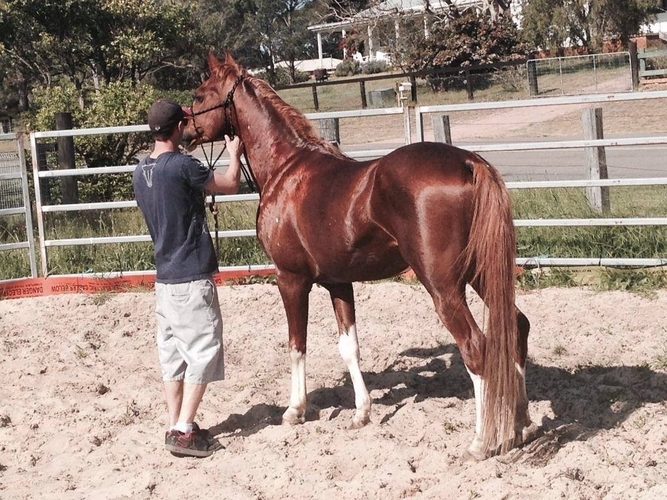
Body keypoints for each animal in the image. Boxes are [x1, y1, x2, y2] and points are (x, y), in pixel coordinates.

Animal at [183, 52, 538, 459]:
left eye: (199, 94)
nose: (184, 131)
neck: (285, 169)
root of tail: (467, 163)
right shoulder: (338, 282)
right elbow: (349, 347)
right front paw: (362, 413)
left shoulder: (290, 279)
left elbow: (296, 345)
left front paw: (294, 410)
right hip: (481, 274)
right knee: (517, 327)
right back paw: (522, 425)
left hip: (444, 287)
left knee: (476, 347)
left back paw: (480, 443)